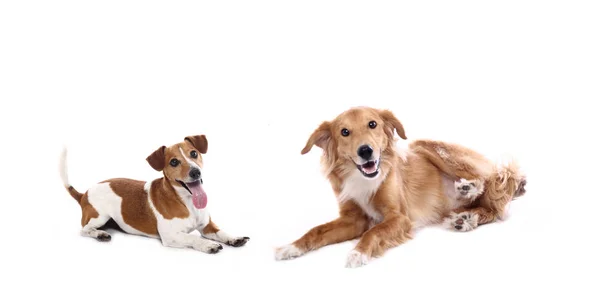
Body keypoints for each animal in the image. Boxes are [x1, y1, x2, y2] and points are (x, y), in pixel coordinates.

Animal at [274, 106, 528, 266]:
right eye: (344, 132)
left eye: (372, 124)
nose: (365, 151)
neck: (364, 179)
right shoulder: (353, 220)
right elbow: (316, 231)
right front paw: (291, 247)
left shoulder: (399, 217)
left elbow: (374, 231)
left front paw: (358, 252)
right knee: (490, 206)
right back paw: (465, 218)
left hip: (425, 146)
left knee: (492, 189)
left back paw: (469, 190)